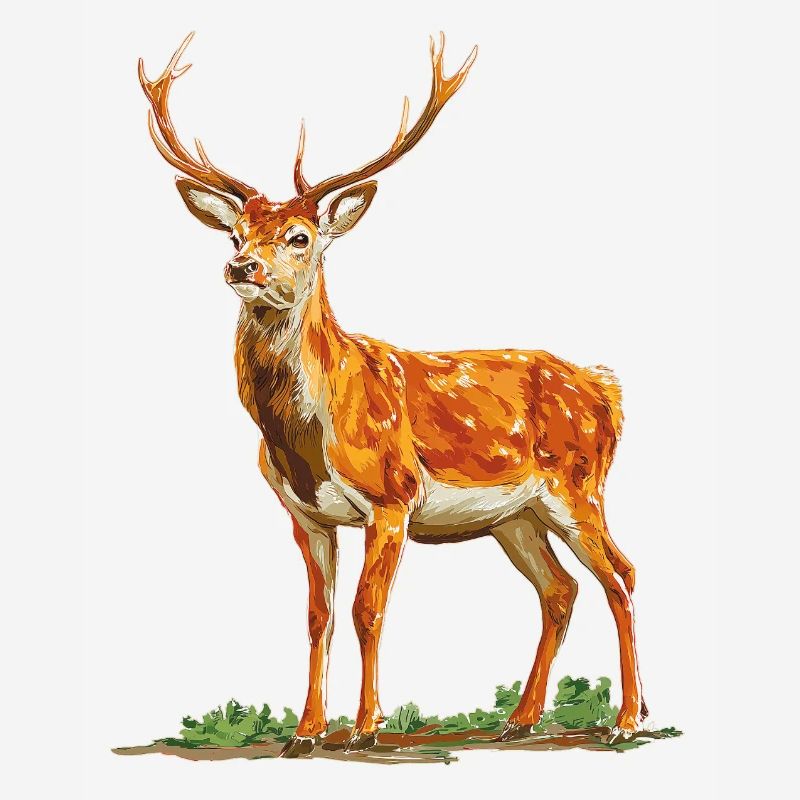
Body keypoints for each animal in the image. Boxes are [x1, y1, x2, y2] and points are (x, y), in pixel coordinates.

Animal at [139, 32, 646, 757]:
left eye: (300, 237)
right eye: (236, 233)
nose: (241, 266)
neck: (302, 435)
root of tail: (607, 388)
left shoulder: (392, 495)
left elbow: (367, 609)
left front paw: (363, 727)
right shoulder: (305, 515)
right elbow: (318, 616)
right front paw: (306, 731)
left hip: (579, 486)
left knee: (622, 574)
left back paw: (627, 718)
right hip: (515, 516)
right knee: (560, 588)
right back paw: (520, 719)